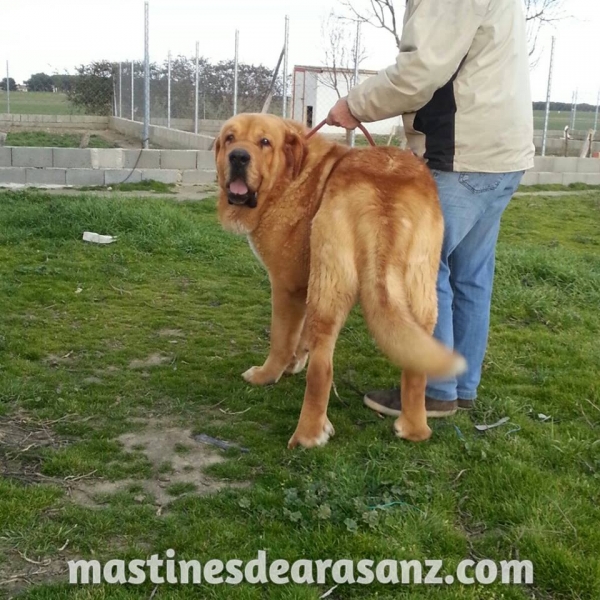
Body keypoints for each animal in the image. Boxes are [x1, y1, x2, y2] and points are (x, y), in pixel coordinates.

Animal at [213, 112, 466, 450]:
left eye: (264, 142)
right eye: (230, 138)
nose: (238, 156)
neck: (291, 176)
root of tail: (385, 192)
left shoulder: (286, 286)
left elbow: (281, 340)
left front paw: (268, 374)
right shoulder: (306, 283)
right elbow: (300, 337)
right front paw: (295, 362)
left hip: (329, 287)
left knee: (323, 369)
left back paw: (307, 435)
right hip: (422, 292)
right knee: (417, 362)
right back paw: (414, 428)